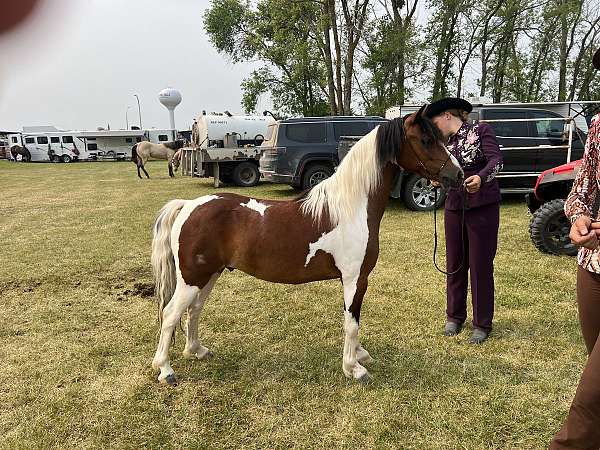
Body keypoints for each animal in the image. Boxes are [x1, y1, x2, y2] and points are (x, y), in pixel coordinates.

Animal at [150, 107, 464, 384]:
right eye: (425, 140)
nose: (457, 174)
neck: (350, 208)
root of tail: (188, 206)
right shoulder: (355, 279)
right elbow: (352, 322)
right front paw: (353, 368)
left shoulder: (354, 280)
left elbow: (353, 321)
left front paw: (359, 355)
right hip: (193, 278)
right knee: (170, 314)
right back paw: (165, 369)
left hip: (209, 275)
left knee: (194, 310)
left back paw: (197, 351)